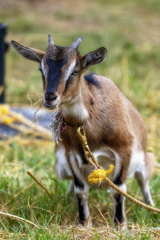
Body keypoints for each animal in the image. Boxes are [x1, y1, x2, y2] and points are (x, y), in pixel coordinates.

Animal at [11, 35, 155, 229]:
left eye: (75, 71)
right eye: (41, 69)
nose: (50, 97)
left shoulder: (124, 150)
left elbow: (118, 190)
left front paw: (120, 225)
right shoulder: (71, 154)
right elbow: (81, 190)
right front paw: (84, 223)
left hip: (145, 161)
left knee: (143, 181)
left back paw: (149, 205)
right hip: (61, 166)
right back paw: (67, 198)